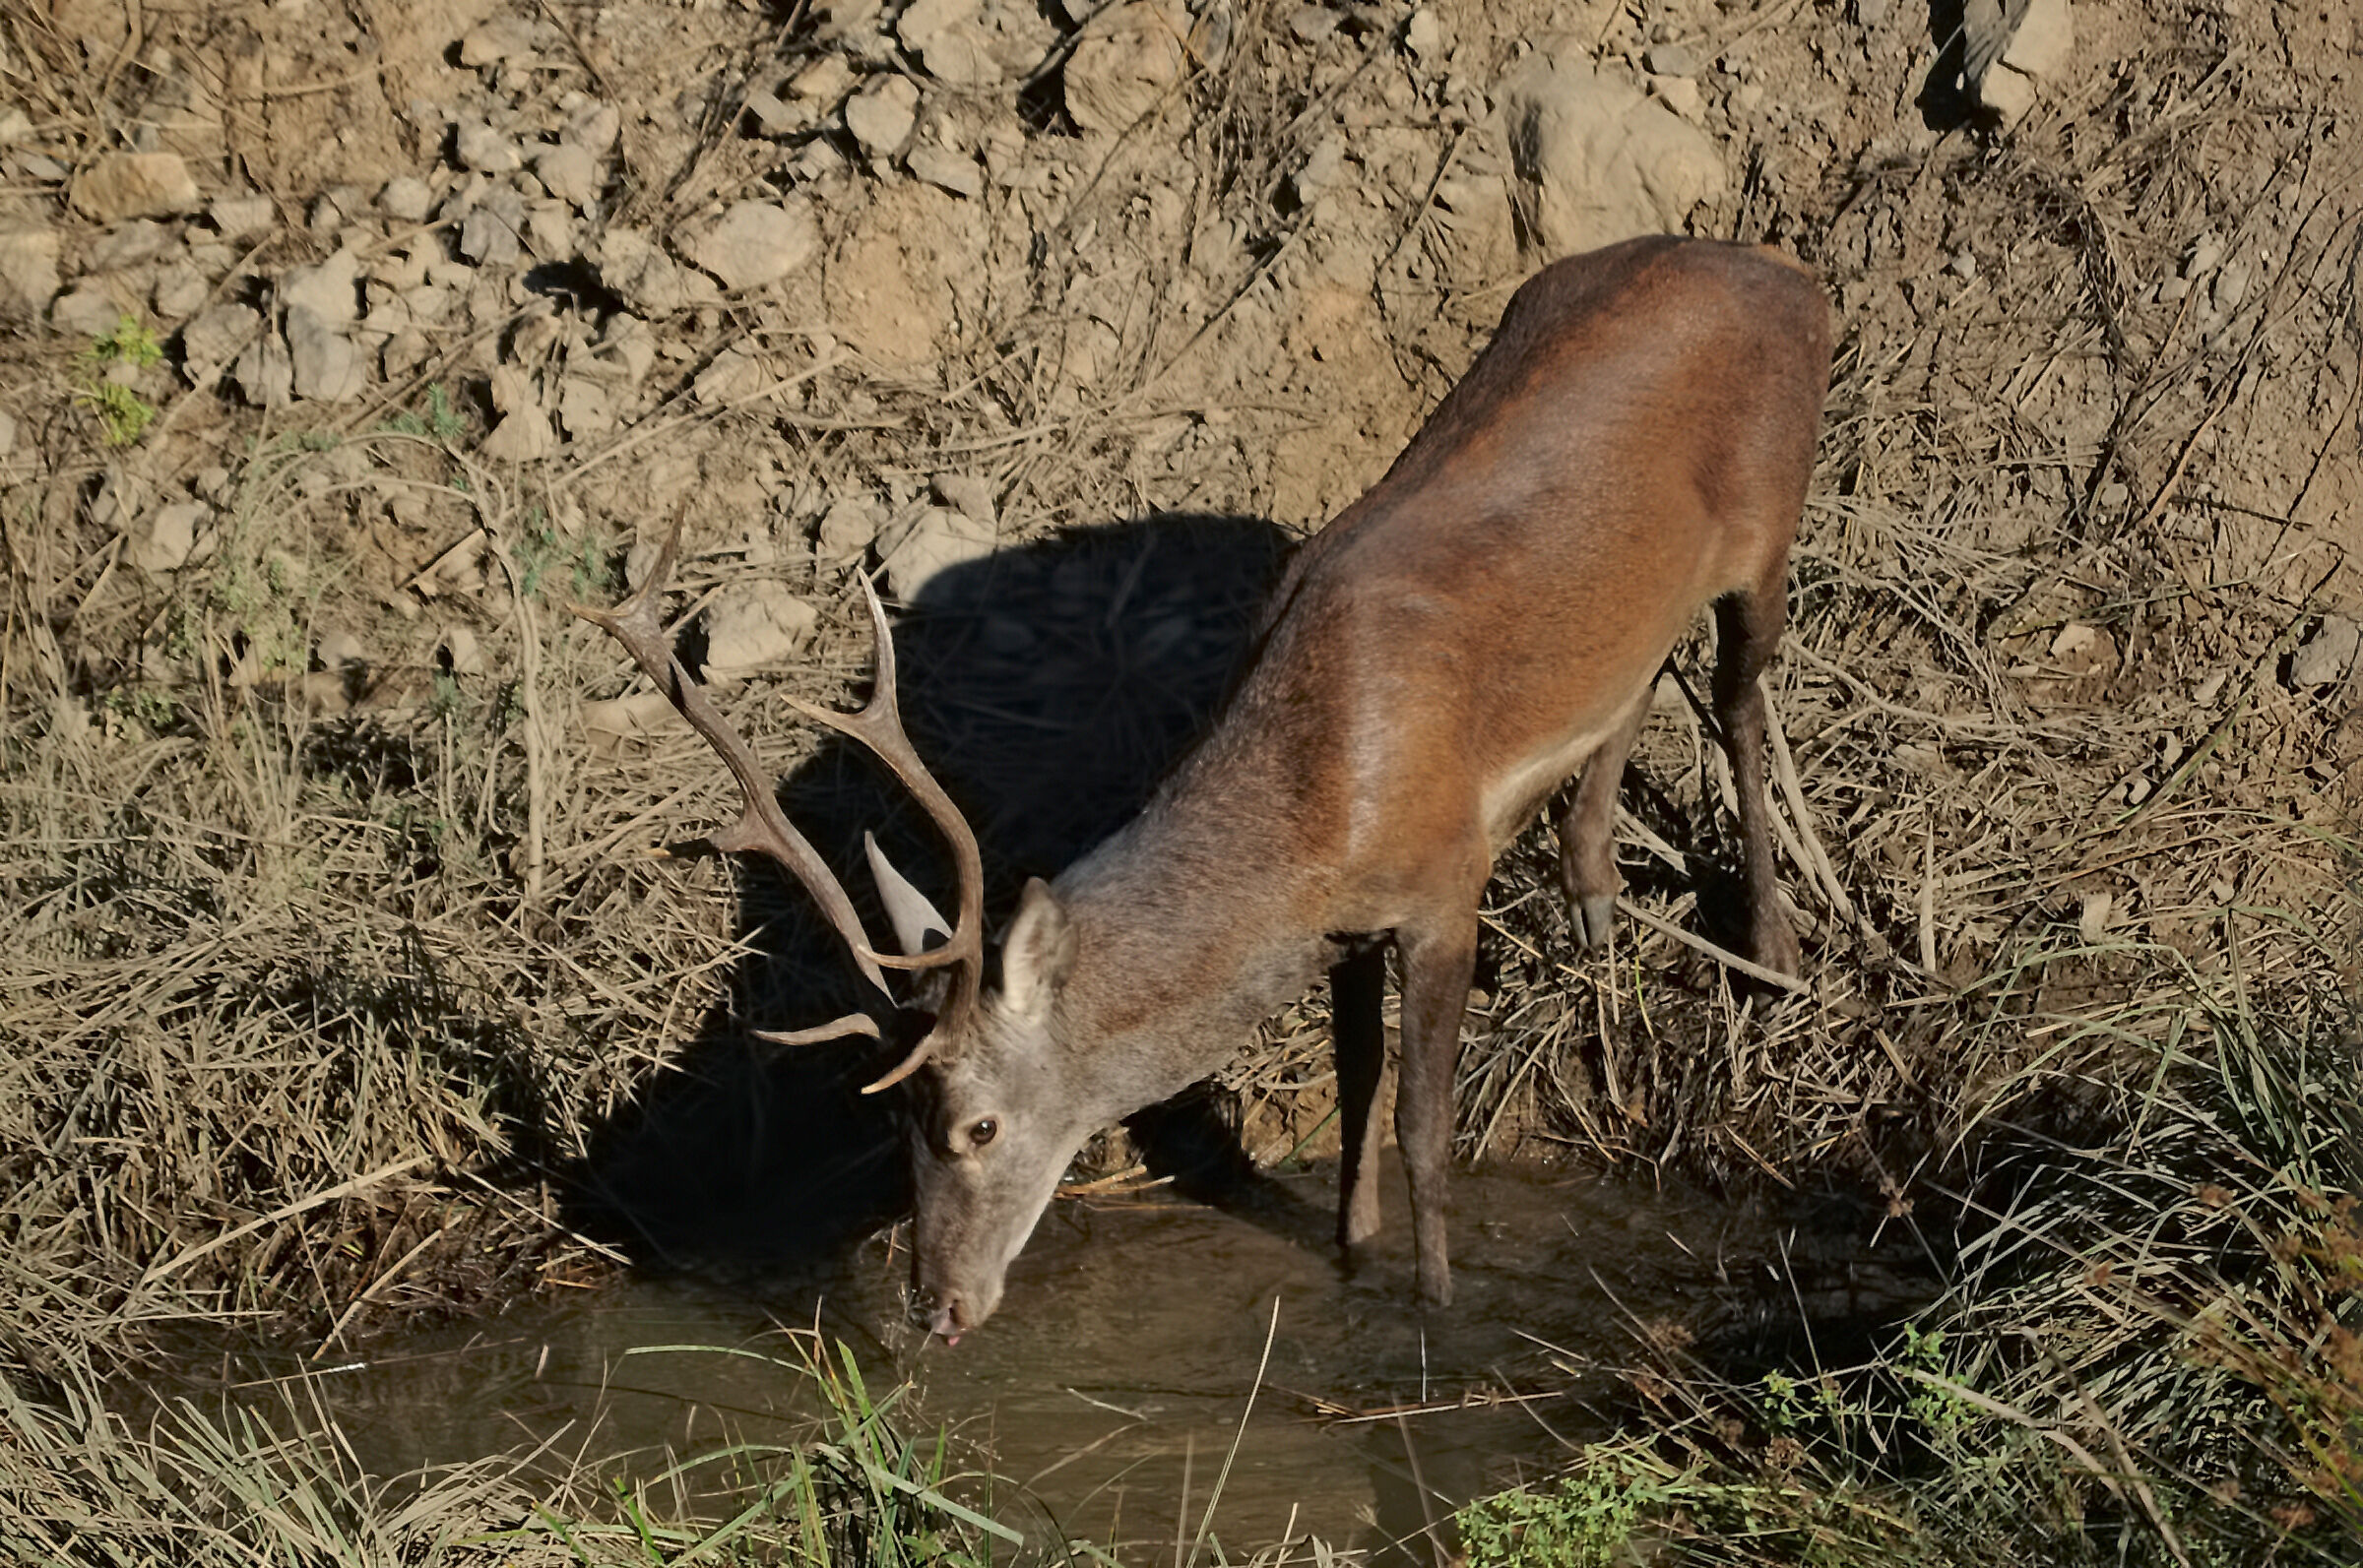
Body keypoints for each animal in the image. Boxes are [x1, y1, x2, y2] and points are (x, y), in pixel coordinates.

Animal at [579, 235, 1831, 1344]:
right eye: (895, 1120)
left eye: (977, 1126)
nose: (937, 1308)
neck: (1316, 804)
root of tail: (1783, 270)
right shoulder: (1344, 930)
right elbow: (1357, 1095)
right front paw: (1351, 1262)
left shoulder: (1441, 883)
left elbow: (1422, 1127)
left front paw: (1434, 1309)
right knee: (1640, 674)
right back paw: (1593, 892)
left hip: (1774, 512)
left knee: (1739, 695)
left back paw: (1773, 945)